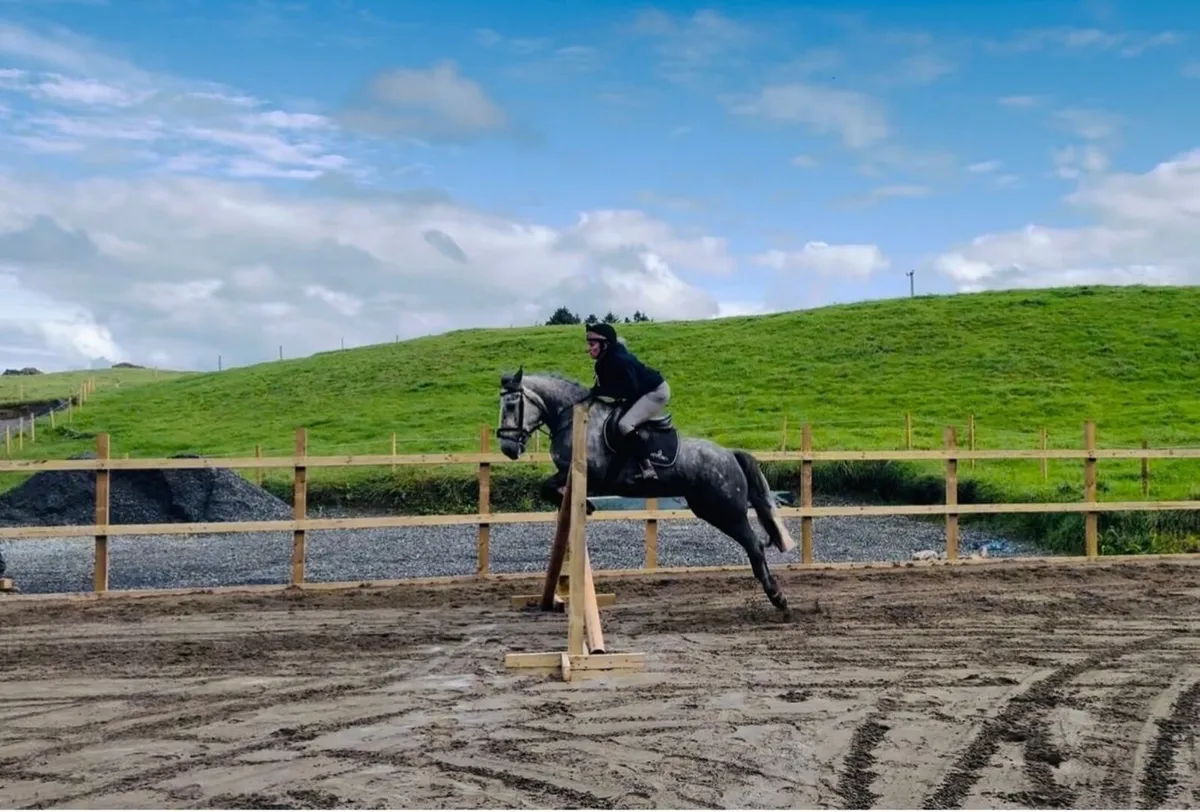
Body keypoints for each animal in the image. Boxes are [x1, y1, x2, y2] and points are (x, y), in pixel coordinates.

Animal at [495, 367, 795, 611]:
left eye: (511, 405)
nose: (508, 449)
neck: (570, 415)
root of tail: (730, 455)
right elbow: (547, 487)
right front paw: (583, 506)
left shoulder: (590, 473)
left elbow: (547, 486)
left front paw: (587, 505)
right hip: (709, 509)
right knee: (754, 544)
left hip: (725, 510)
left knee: (754, 545)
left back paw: (778, 597)